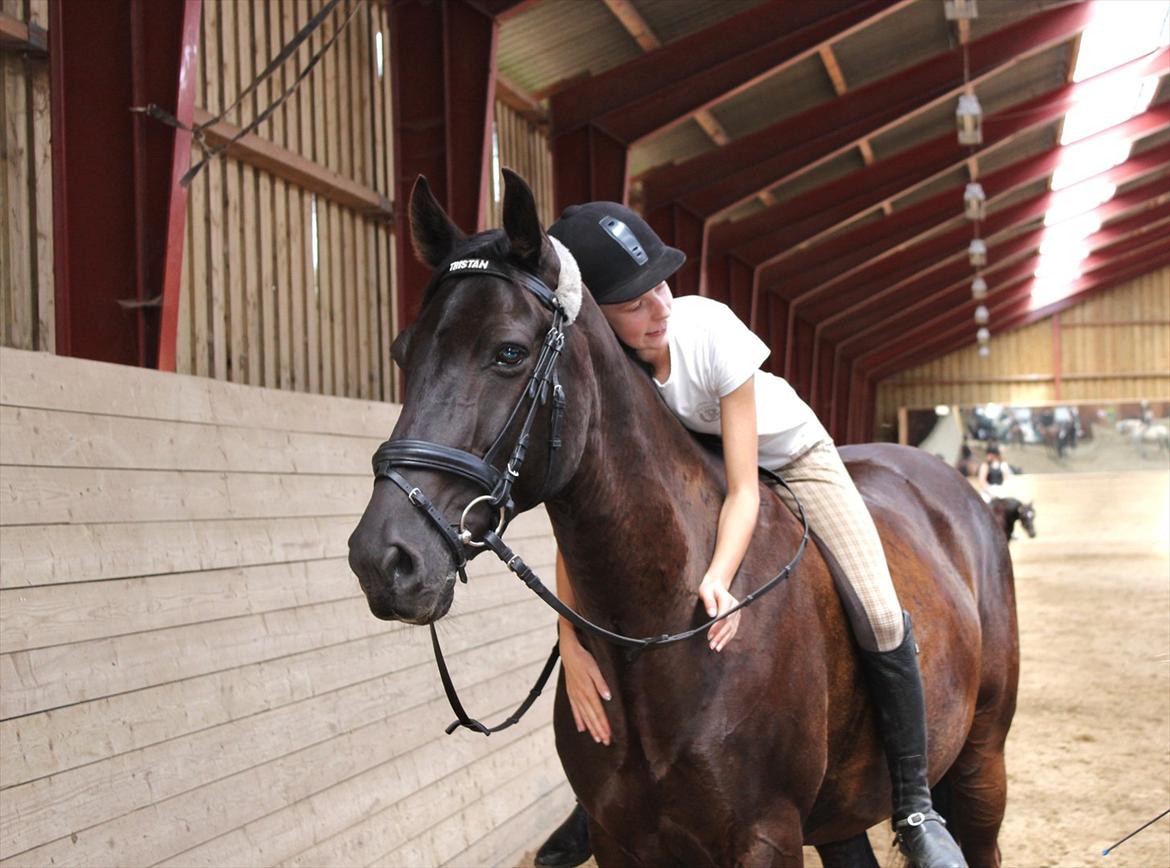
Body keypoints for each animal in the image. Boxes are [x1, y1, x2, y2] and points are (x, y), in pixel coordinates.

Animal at [341, 171, 1020, 868]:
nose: (383, 559)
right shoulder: (618, 837)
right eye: (402, 352)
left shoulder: (766, 835)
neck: (654, 631)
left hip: (981, 759)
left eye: (509, 352)